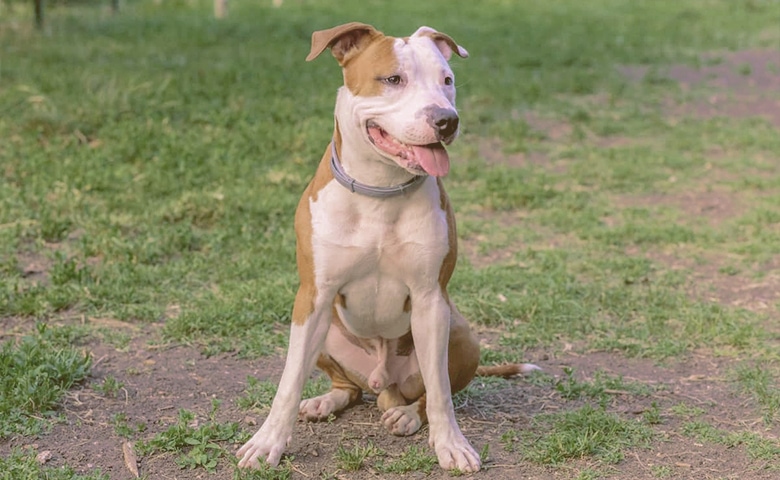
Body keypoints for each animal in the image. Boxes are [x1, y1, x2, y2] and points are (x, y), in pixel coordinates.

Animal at [235, 21, 540, 472]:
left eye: (447, 81)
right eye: (393, 79)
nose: (446, 120)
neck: (381, 189)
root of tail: (383, 382)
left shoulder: (431, 299)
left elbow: (441, 393)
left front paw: (451, 445)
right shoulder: (312, 297)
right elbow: (289, 382)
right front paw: (267, 442)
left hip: (461, 334)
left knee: (426, 392)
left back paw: (405, 415)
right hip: (325, 331)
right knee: (347, 387)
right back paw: (324, 401)